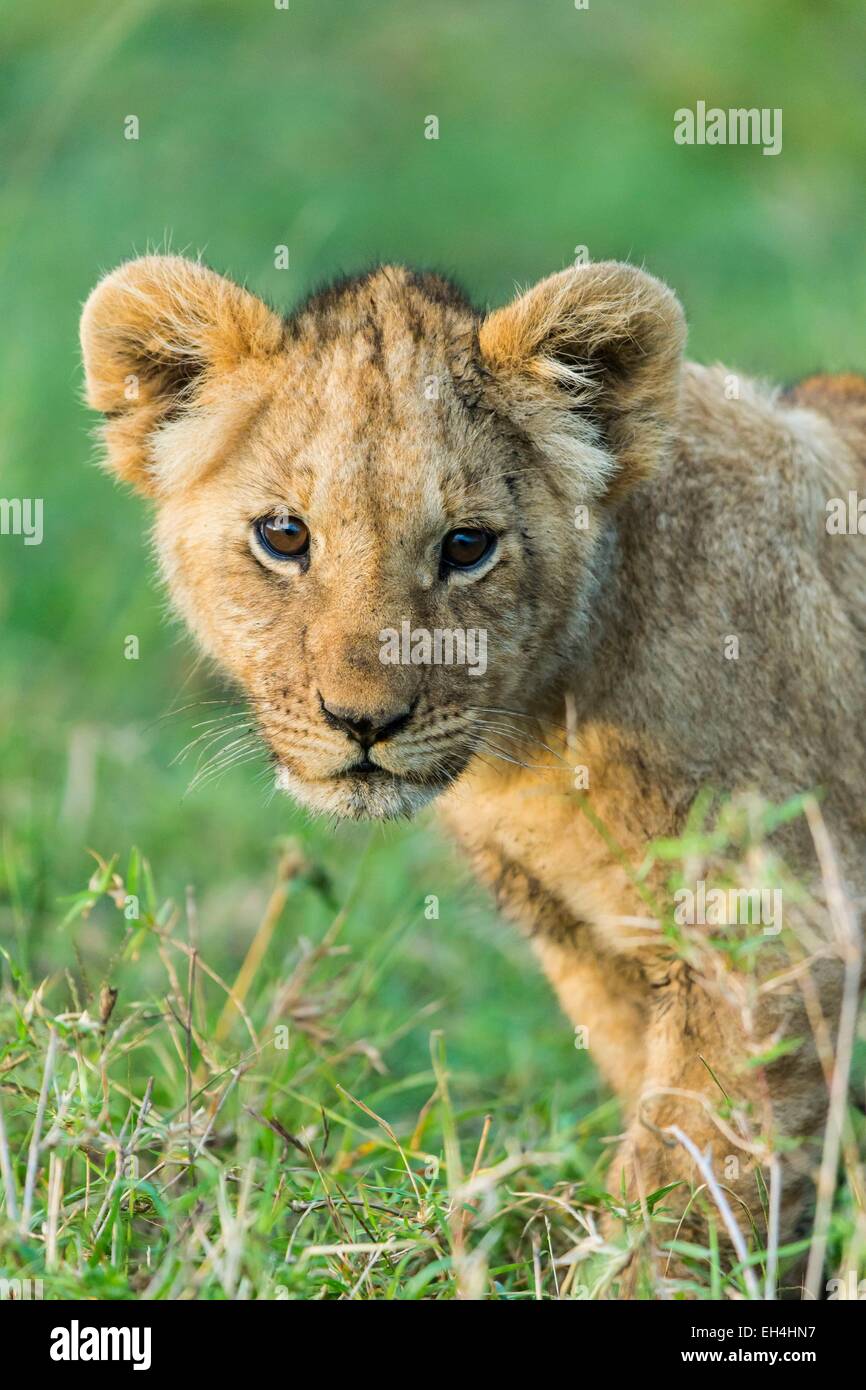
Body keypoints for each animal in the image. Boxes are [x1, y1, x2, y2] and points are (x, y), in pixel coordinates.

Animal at [80, 255, 865, 1289]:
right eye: (284, 537)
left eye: (466, 546)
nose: (363, 722)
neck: (540, 739)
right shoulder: (599, 951)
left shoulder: (774, 933)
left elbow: (692, 1173)